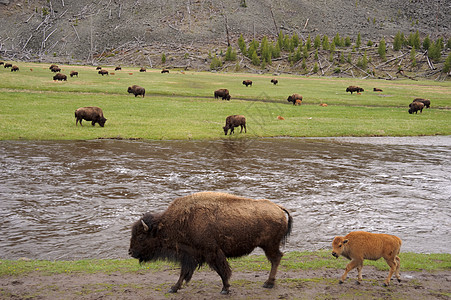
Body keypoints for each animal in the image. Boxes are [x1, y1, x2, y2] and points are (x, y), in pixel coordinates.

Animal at [129, 192, 294, 292]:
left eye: (141, 237)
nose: (131, 252)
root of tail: (279, 208)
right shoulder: (189, 254)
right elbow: (184, 272)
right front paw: (174, 288)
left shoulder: (211, 252)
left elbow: (222, 270)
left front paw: (225, 289)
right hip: (269, 245)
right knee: (277, 258)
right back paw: (269, 283)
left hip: (269, 245)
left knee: (276, 259)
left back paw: (268, 283)